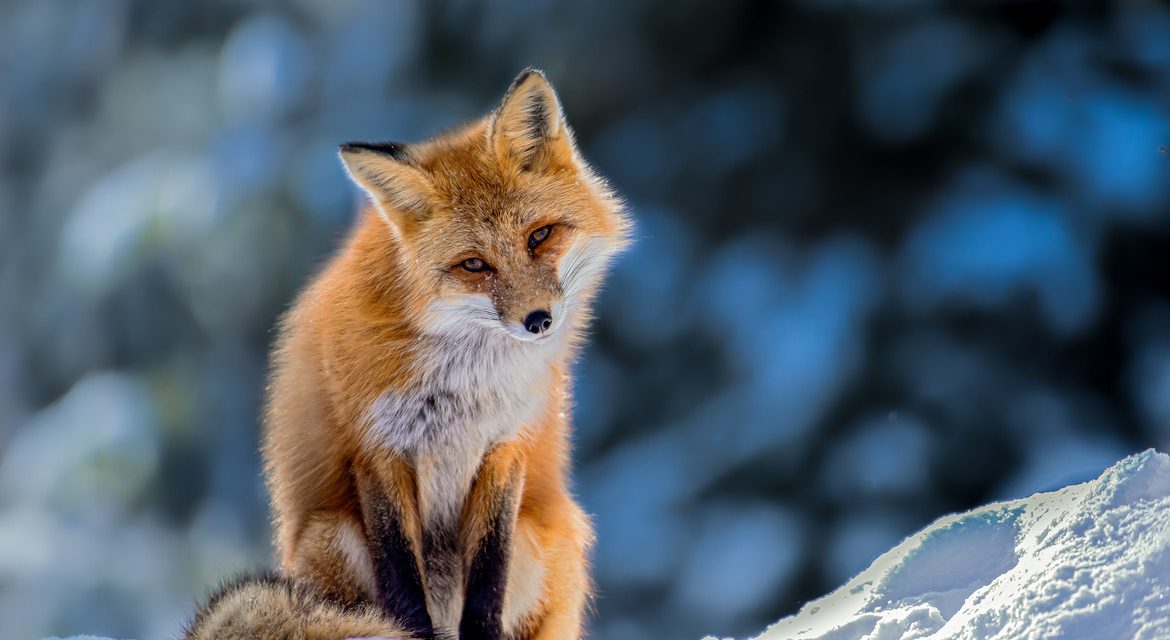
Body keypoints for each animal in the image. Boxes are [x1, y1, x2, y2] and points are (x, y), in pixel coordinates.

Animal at [187, 69, 629, 640]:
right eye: (474, 265)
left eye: (540, 236)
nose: (538, 321)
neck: (468, 380)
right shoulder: (377, 449)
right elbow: (400, 578)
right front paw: (410, 631)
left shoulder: (506, 446)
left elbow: (490, 575)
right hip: (331, 533)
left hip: (543, 540)